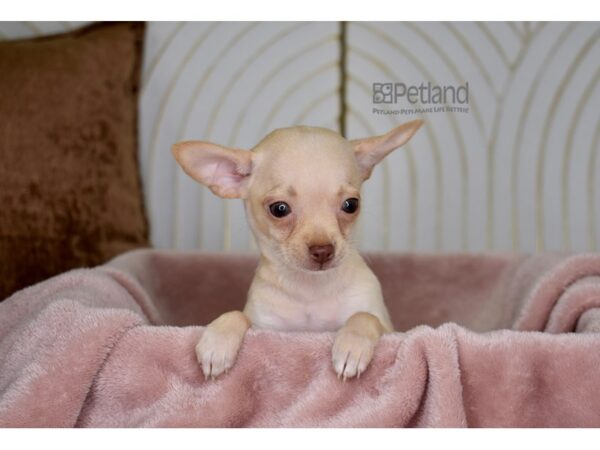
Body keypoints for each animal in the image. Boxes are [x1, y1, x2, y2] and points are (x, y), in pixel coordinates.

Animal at [171, 119, 424, 380]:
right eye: (279, 209)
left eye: (351, 205)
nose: (323, 250)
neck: (310, 290)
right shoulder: (266, 327)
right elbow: (238, 314)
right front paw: (217, 341)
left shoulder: (390, 329)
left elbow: (365, 316)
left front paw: (353, 345)